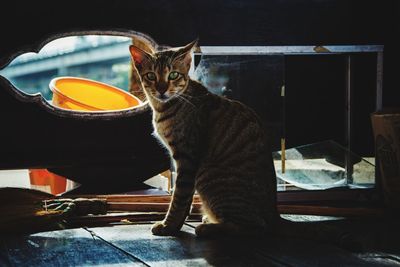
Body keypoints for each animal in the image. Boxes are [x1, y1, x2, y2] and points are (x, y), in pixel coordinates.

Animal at [130, 41, 352, 245]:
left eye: (173, 75)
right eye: (151, 76)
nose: (161, 90)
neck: (165, 106)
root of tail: (275, 214)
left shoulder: (187, 159)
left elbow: (179, 198)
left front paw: (169, 226)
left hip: (210, 178)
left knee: (256, 228)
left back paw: (210, 228)